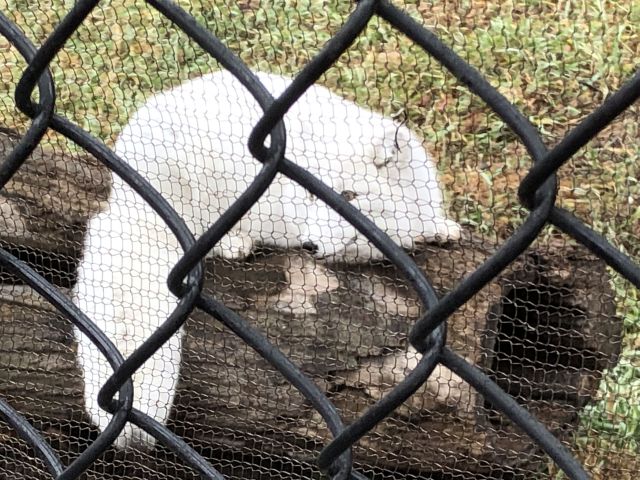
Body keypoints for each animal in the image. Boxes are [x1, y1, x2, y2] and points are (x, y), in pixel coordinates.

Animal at [74, 70, 460, 450]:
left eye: (350, 196)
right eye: (313, 195)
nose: (309, 245)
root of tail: (129, 196)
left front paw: (442, 229)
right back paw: (235, 243)